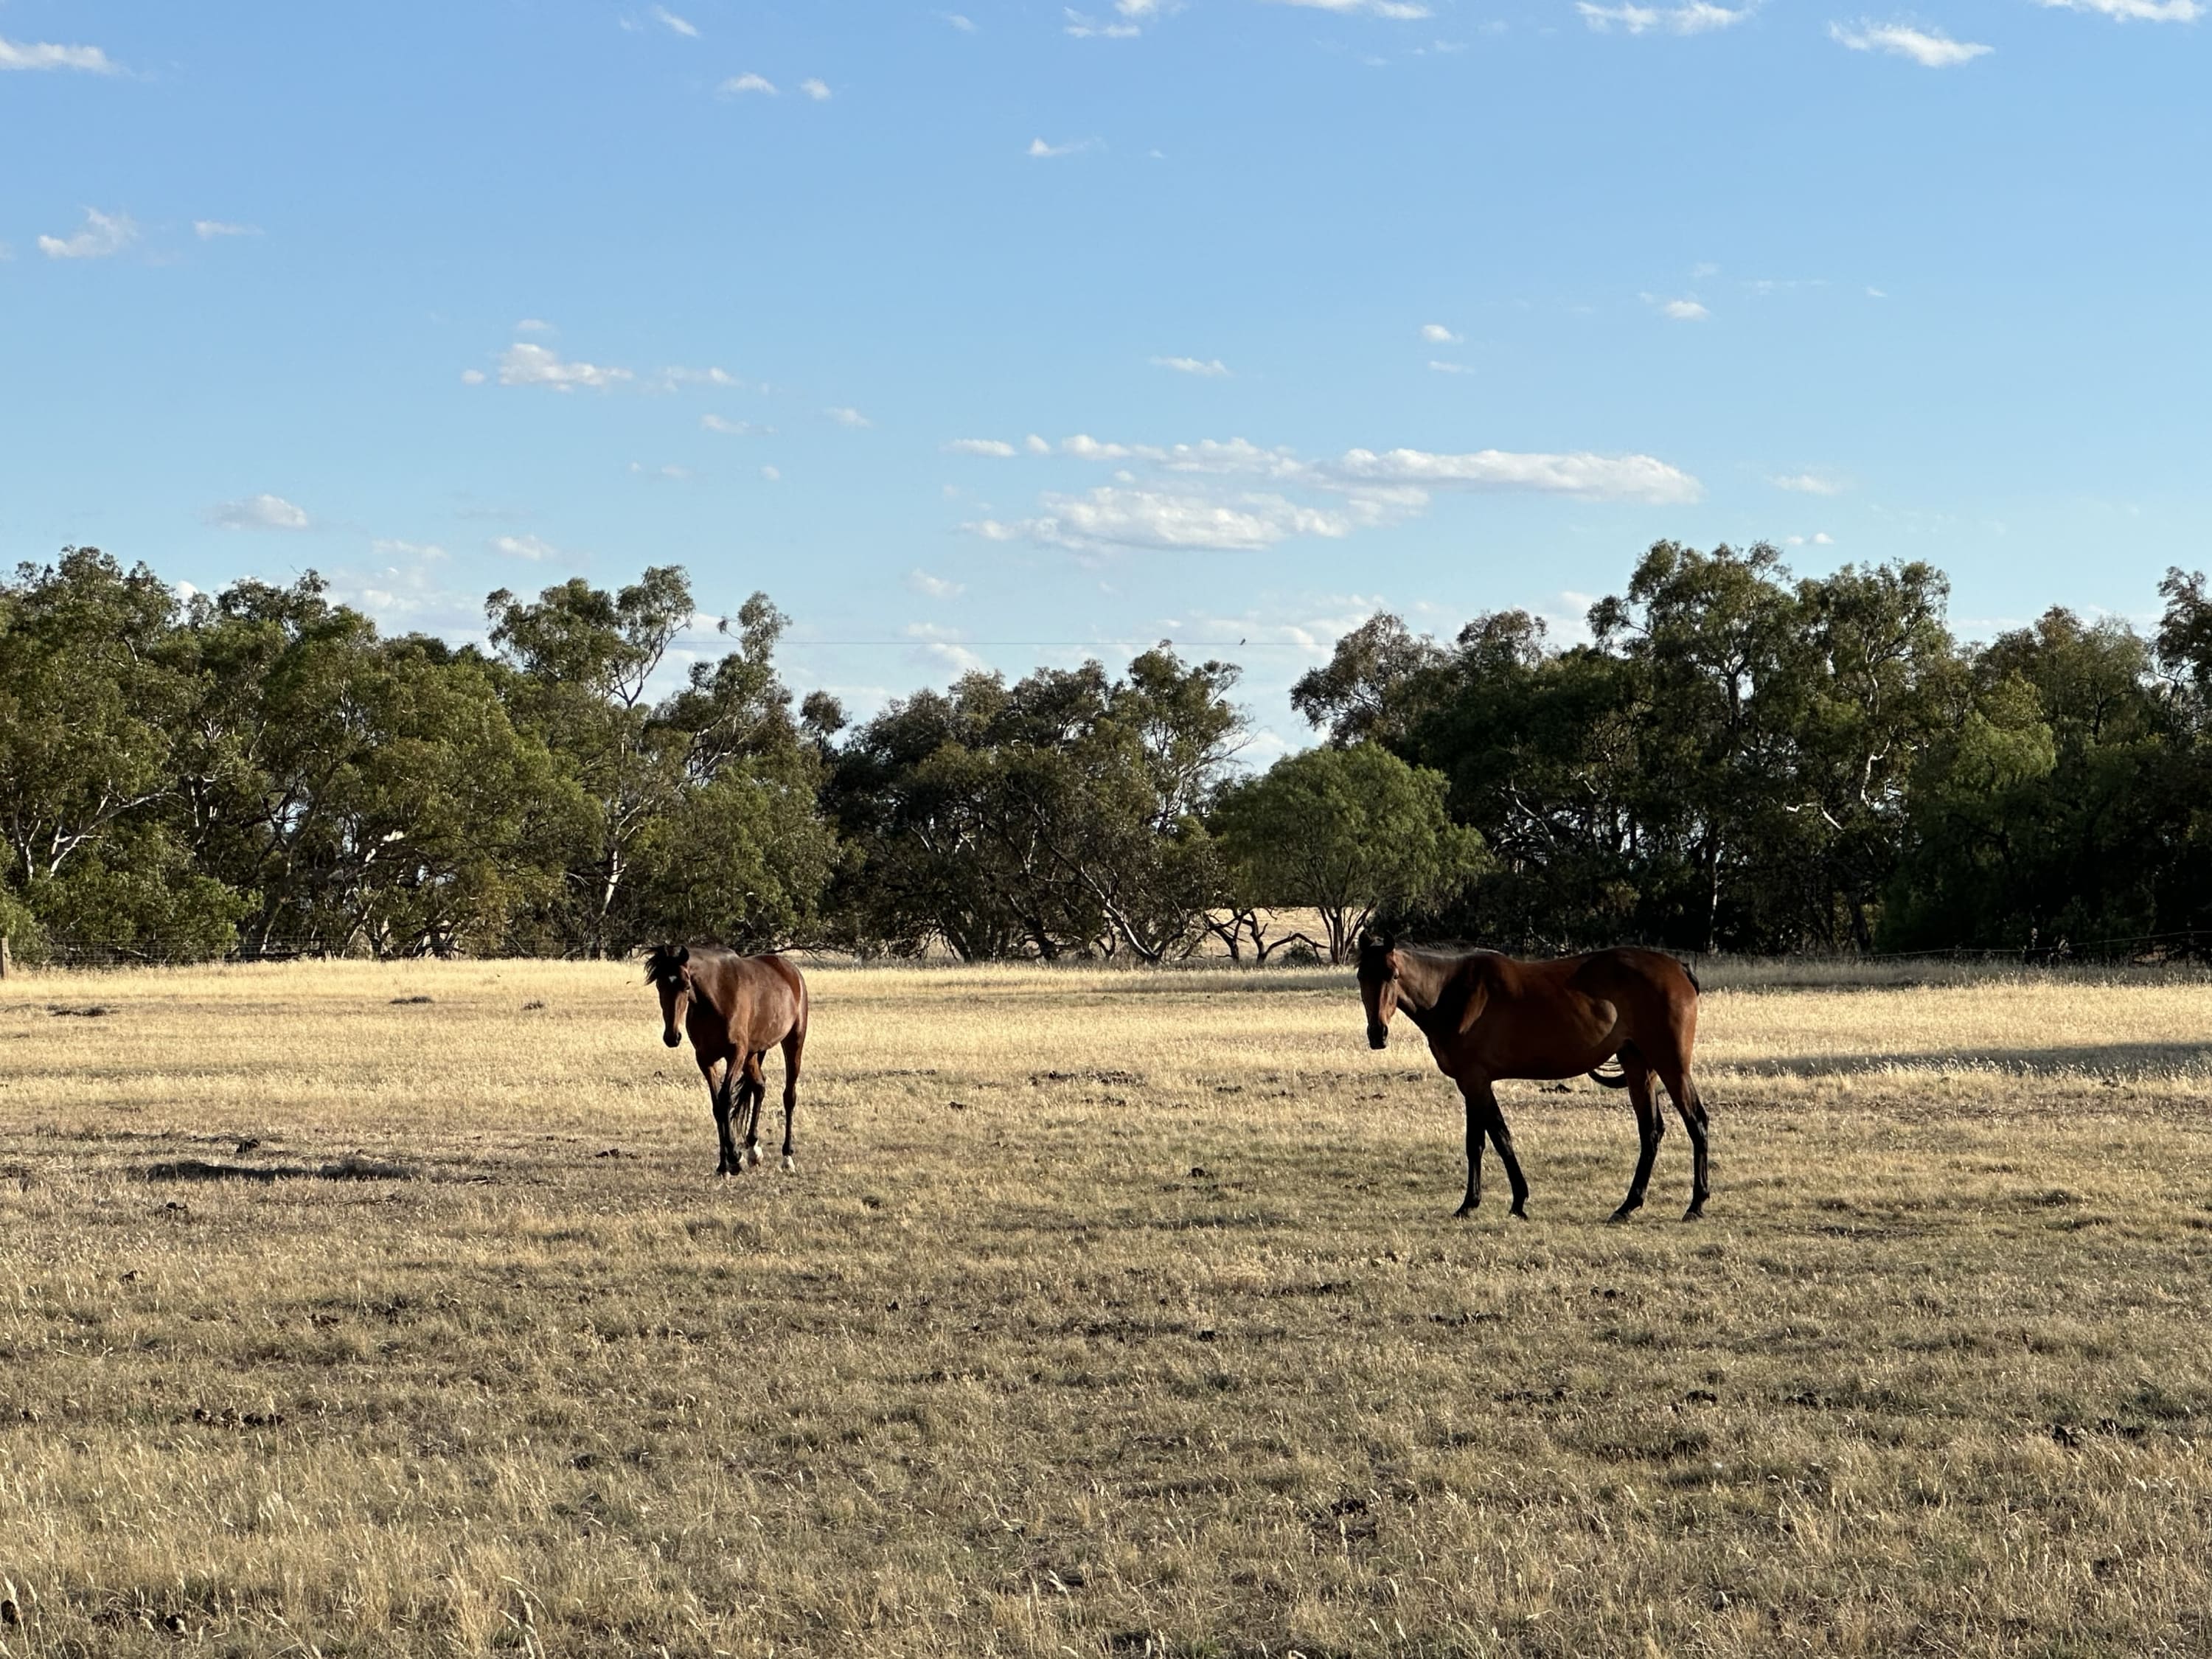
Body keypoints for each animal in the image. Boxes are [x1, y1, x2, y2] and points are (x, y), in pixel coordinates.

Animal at [646, 942, 810, 1177]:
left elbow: (725, 1100)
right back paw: (753, 1150)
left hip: (793, 1042)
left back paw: (787, 1158)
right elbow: (717, 1106)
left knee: (789, 1096)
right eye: (660, 985)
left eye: (686, 986)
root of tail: (790, 970)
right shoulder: (705, 1059)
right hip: (752, 1055)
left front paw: (734, 1157)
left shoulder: (736, 1054)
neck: (716, 997)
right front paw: (724, 1165)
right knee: (759, 1087)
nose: (672, 1037)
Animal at [1345, 938, 1708, 1221]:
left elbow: (1492, 1139)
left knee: (1696, 1122)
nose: (1377, 1034)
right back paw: (1628, 1206)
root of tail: (1678, 968)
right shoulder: (1473, 1084)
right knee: (1651, 1132)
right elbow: (1483, 1142)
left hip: (1672, 1066)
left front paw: (1506, 1202)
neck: (1450, 995)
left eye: (1392, 975)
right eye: (1362, 976)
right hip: (1638, 1068)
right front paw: (1481, 1203)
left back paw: (1696, 1205)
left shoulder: (1475, 1081)